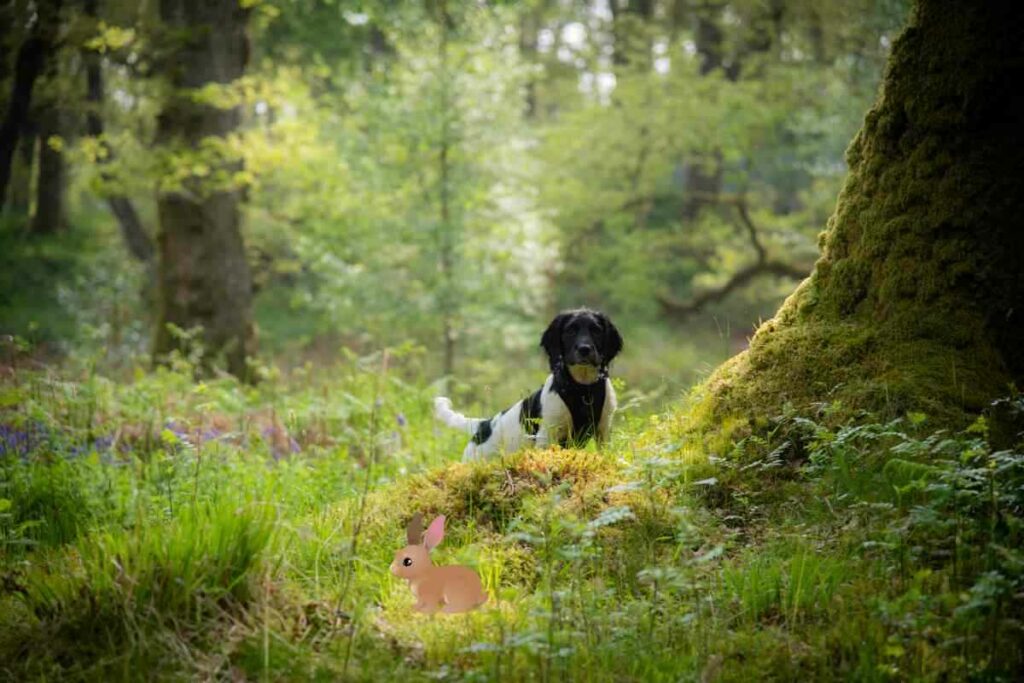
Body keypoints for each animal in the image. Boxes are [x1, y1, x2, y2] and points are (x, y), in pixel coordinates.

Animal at [434, 309, 622, 458]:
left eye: (596, 331)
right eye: (570, 331)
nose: (584, 349)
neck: (582, 388)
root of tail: (484, 425)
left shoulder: (604, 429)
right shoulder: (548, 435)